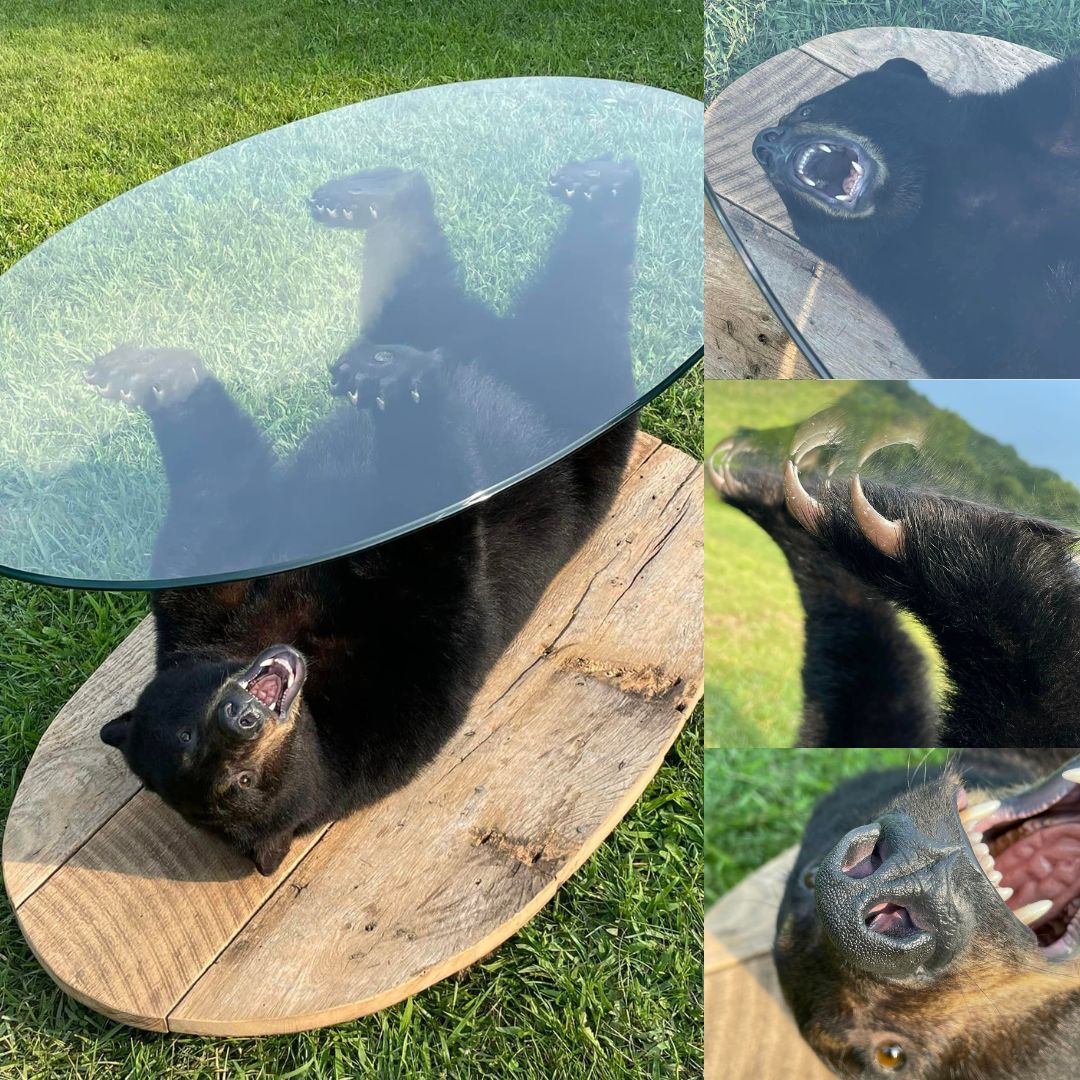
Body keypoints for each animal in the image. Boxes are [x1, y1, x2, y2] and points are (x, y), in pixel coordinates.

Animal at [93, 155, 644, 875]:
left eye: (189, 732)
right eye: (236, 780)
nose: (242, 715)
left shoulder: (204, 619)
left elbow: (214, 517)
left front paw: (150, 376)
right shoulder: (396, 705)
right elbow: (437, 578)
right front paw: (413, 404)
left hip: (441, 327)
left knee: (417, 285)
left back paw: (374, 200)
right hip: (582, 412)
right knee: (582, 311)